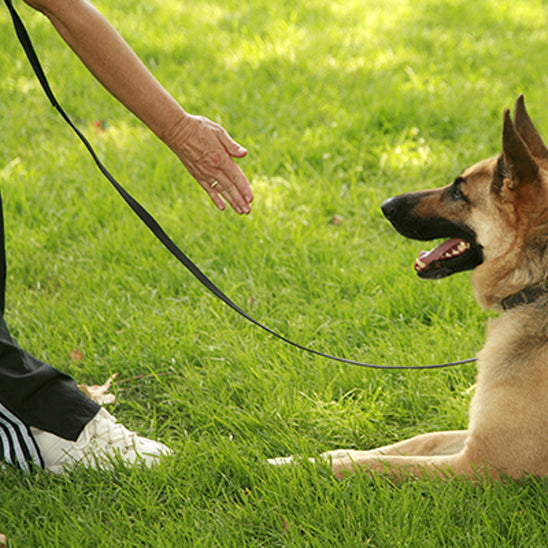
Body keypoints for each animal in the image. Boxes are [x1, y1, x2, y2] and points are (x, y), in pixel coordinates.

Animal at [274, 96, 548, 478]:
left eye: (458, 192)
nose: (385, 205)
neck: (536, 287)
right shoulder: (470, 440)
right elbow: (417, 440)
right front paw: (310, 456)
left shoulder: (480, 464)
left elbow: (376, 465)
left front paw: (301, 469)